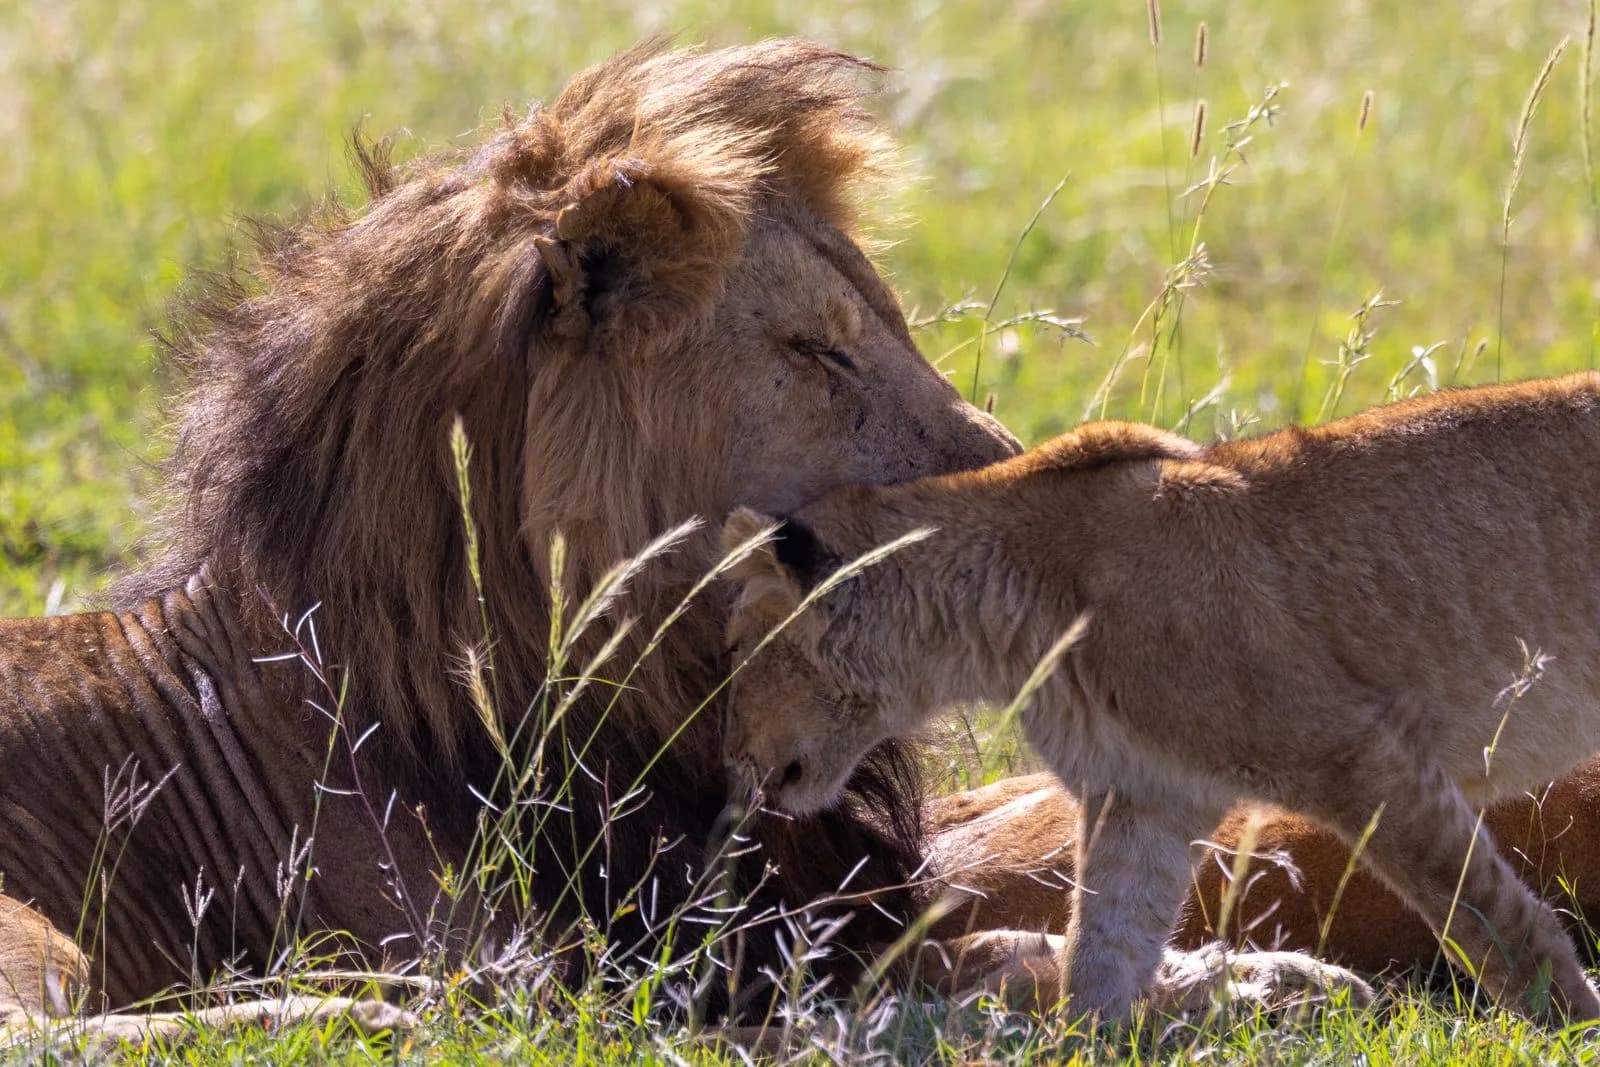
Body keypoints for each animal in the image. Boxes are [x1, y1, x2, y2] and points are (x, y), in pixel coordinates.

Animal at [721, 371, 1600, 1023]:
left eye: (733, 652)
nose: (740, 765)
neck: (1000, 628)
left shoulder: (1364, 757)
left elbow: (1492, 921)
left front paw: (1572, 1026)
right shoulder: (1140, 798)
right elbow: (1101, 952)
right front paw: (1086, 1042)